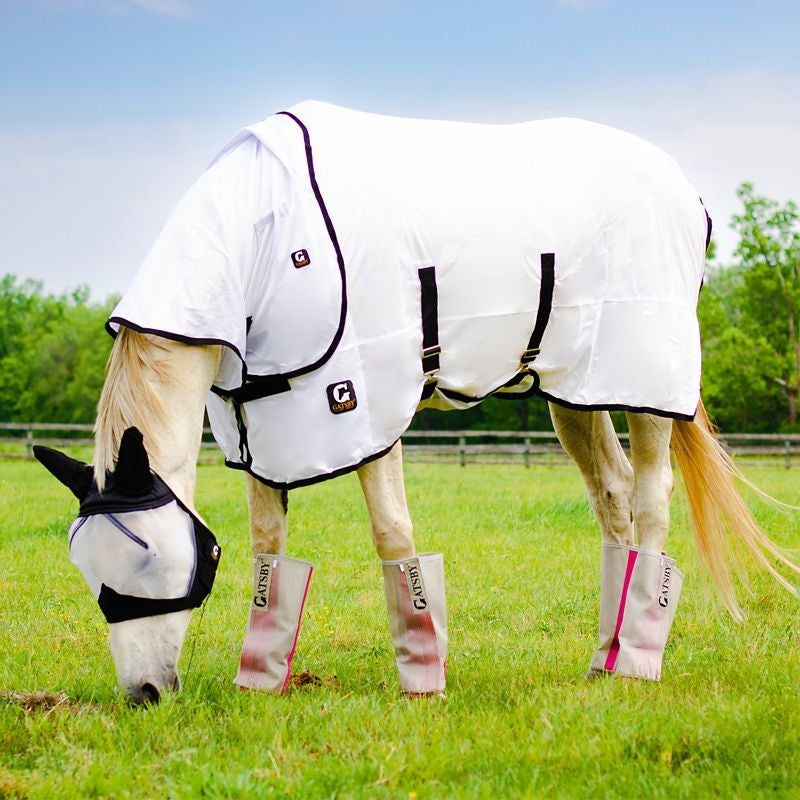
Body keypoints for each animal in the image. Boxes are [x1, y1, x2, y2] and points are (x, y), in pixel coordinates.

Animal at [34, 102, 800, 704]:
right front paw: (262, 681)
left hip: (645, 384)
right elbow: (268, 548)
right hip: (575, 390)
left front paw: (423, 681)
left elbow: (393, 536)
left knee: (650, 502)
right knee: (612, 498)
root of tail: (684, 192)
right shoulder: (265, 431)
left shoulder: (366, 406)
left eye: (147, 563)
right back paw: (600, 662)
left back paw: (638, 661)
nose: (144, 693)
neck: (267, 239)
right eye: (86, 570)